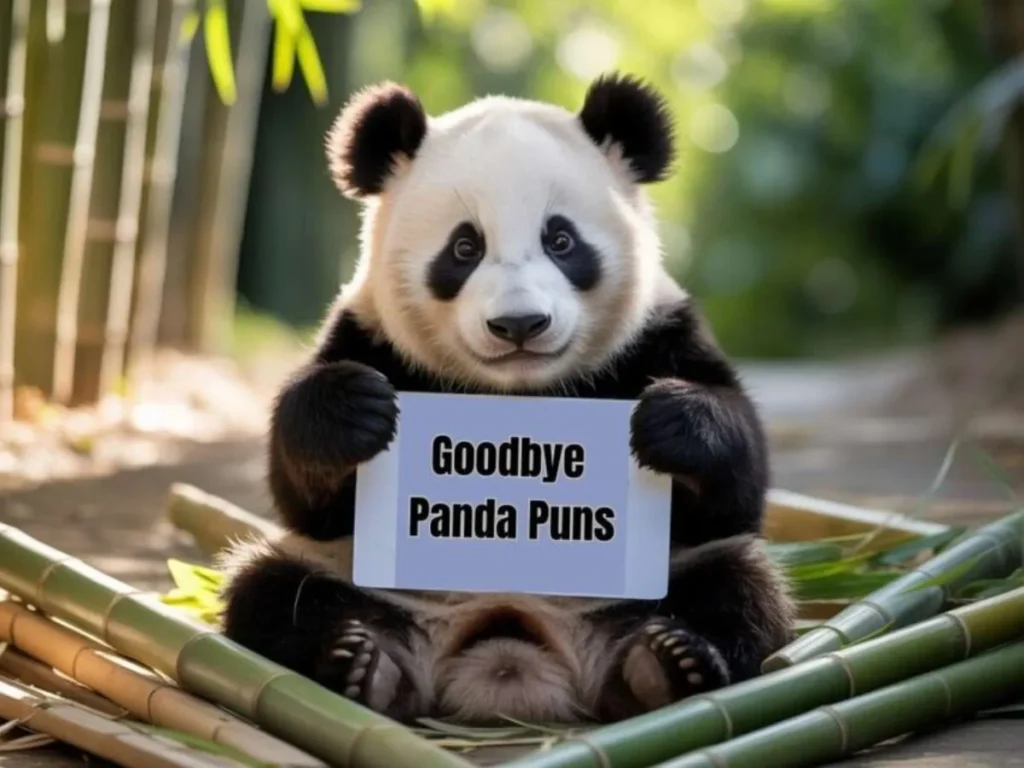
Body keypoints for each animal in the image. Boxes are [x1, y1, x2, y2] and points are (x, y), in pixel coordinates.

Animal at [218, 72, 796, 726]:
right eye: (464, 248)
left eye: (562, 240)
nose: (520, 324)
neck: (518, 392)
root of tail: (507, 654)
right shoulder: (369, 336)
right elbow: (305, 503)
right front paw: (355, 411)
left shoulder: (659, 334)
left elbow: (736, 492)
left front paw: (670, 421)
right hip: (354, 577)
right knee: (272, 591)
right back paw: (361, 667)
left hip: (666, 579)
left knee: (740, 587)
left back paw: (666, 666)